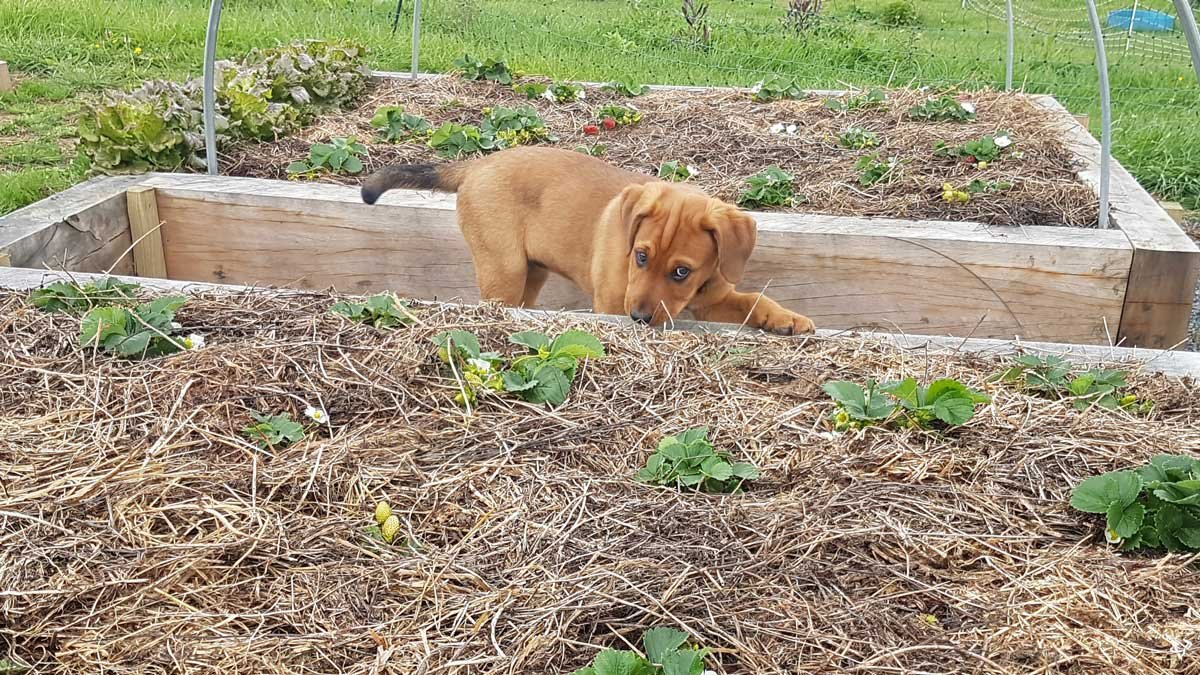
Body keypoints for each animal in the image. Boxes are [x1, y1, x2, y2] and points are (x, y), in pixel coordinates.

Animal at [360, 145, 816, 331]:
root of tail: (474, 166)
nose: (640, 319)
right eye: (640, 257)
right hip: (504, 270)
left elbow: (754, 300)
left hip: (532, 272)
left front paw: (787, 319)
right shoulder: (614, 304)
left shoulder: (714, 298)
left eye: (682, 272)